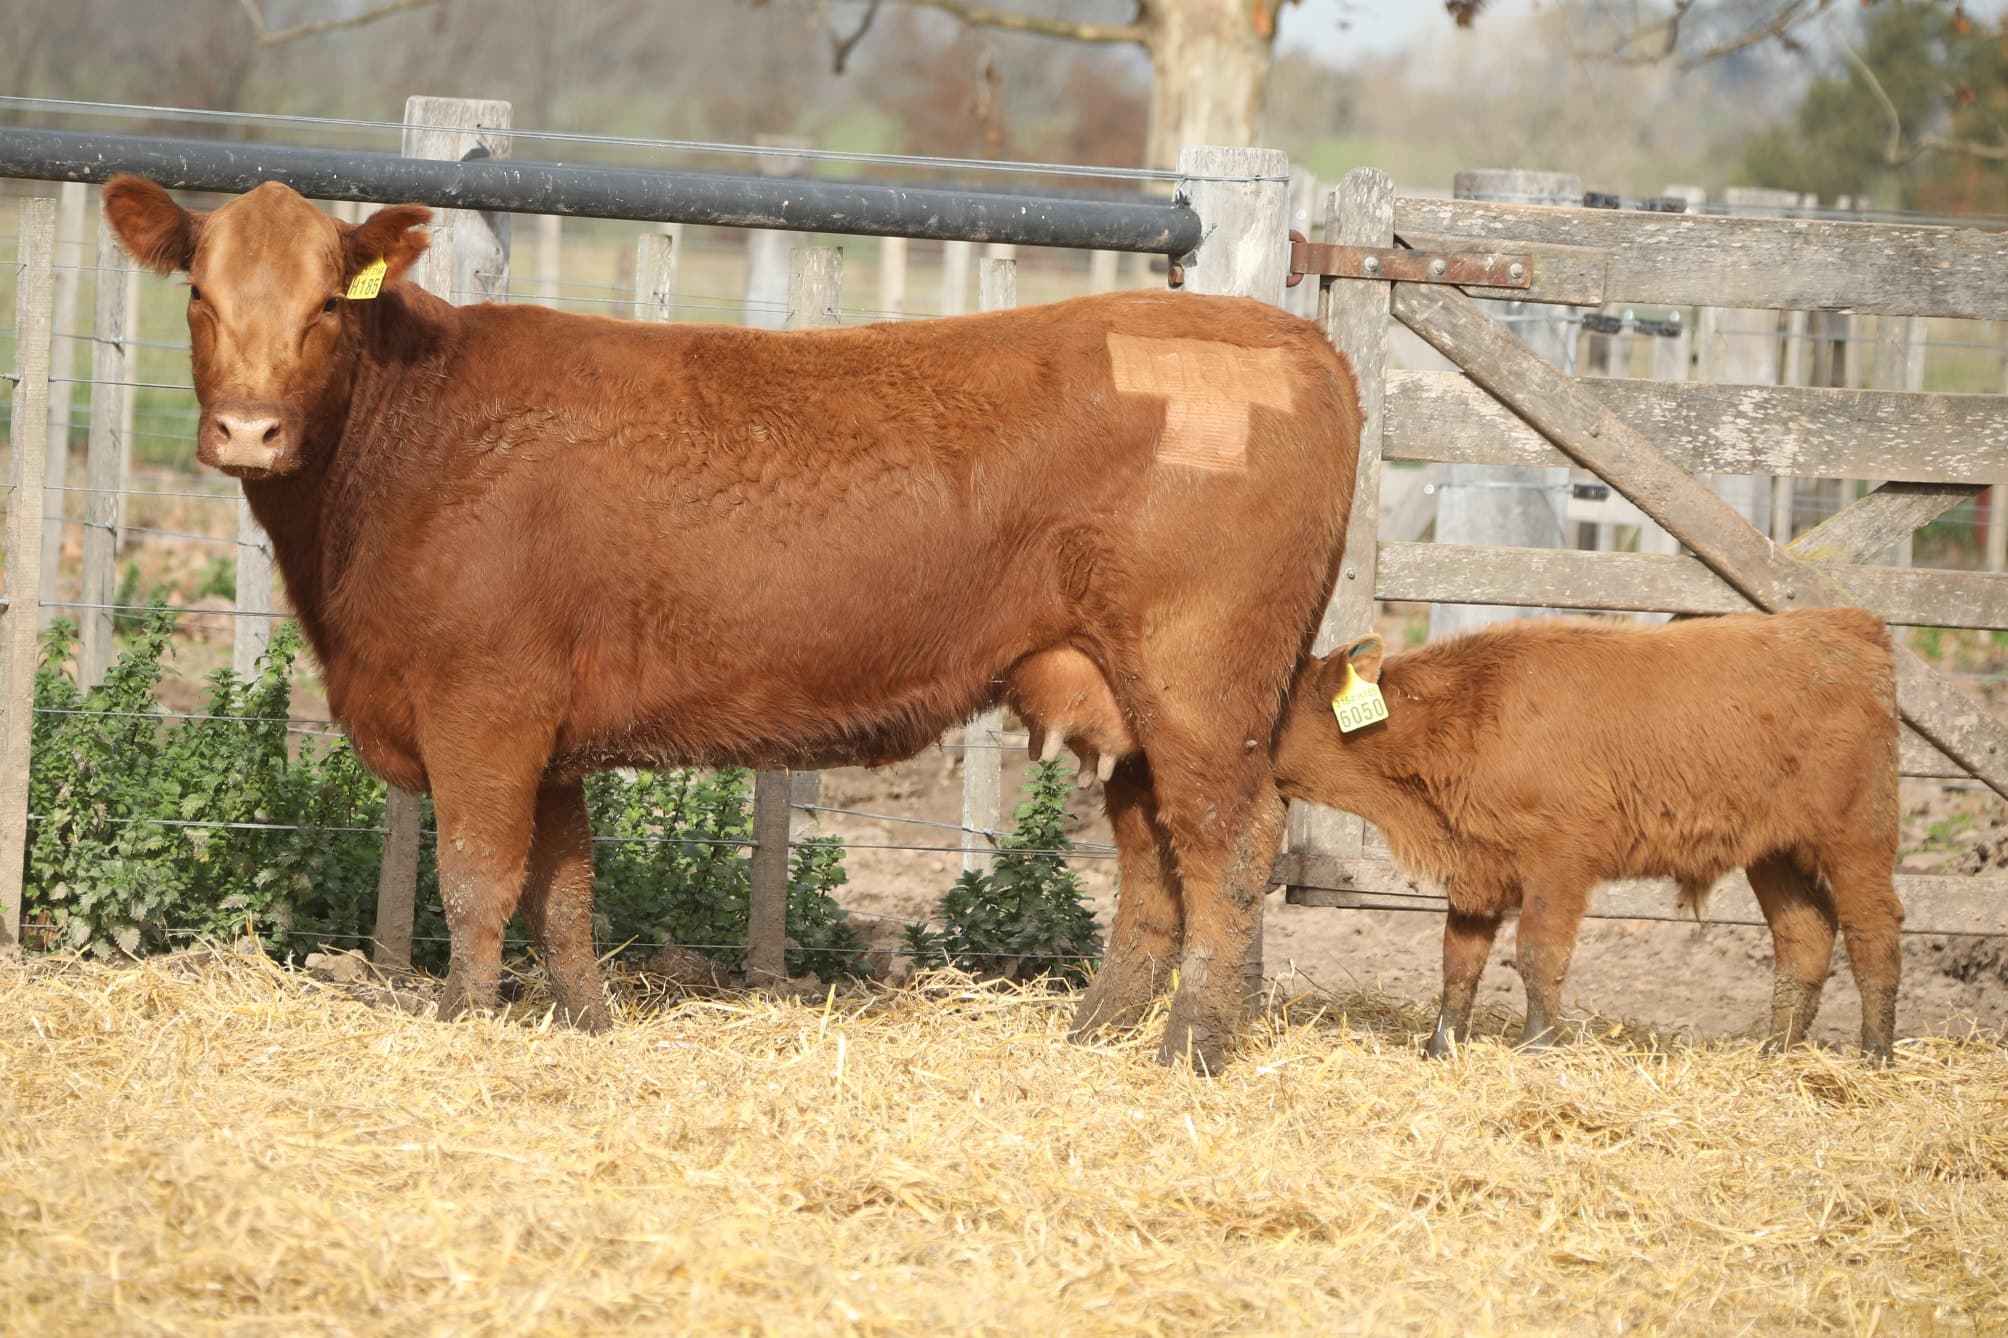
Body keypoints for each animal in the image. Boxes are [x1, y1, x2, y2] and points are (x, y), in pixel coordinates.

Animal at [102, 176, 1362, 1071]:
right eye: (199, 294)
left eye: (326, 303)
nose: (250, 430)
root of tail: (1294, 340)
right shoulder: (549, 735)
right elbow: (563, 890)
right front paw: (587, 1024)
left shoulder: (483, 706)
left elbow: (476, 878)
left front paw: (461, 1020)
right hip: (1126, 693)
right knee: (1154, 855)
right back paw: (1098, 1033)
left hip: (1198, 683)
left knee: (1227, 842)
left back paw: (1190, 1049)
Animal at [1015, 610, 1904, 1060]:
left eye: (1273, 702)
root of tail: (1848, 624)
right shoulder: (1477, 875)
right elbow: (1459, 962)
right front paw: (1444, 1046)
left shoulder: (1559, 864)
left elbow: (1538, 955)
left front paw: (1539, 1047)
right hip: (1777, 853)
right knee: (1805, 938)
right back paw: (1776, 1053)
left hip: (1858, 837)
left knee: (1874, 934)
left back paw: (1875, 1052)